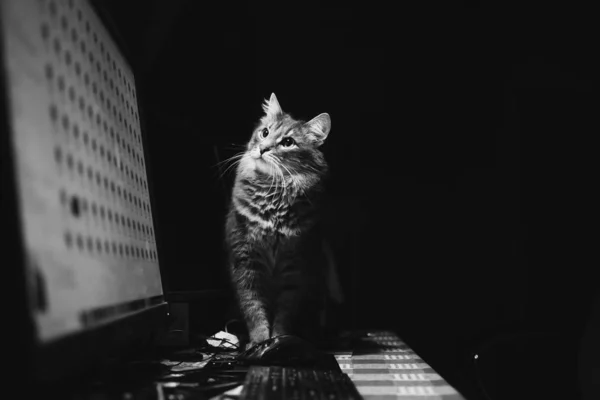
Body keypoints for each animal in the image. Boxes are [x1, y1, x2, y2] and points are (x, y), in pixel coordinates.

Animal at [225, 93, 338, 346]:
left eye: (287, 142)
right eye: (265, 132)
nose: (263, 149)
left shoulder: (294, 266)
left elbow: (285, 314)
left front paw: (279, 340)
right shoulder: (246, 263)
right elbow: (254, 309)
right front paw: (259, 343)